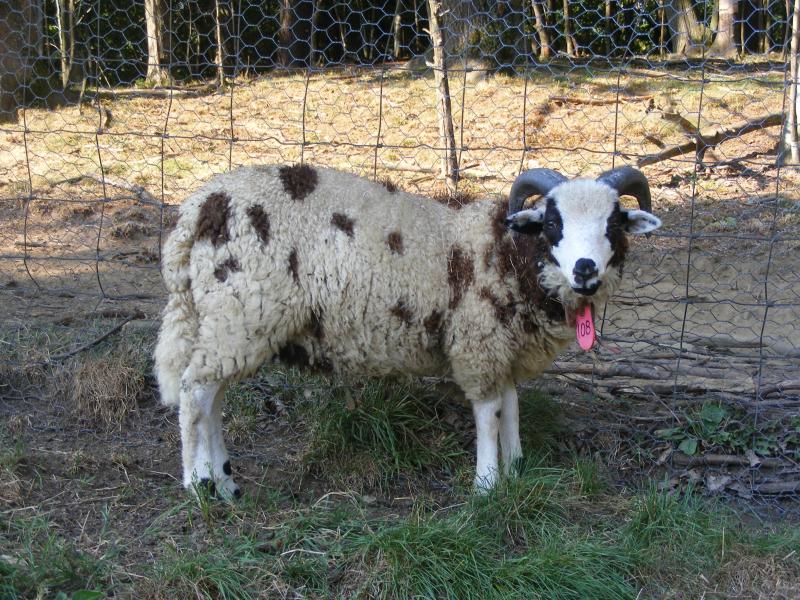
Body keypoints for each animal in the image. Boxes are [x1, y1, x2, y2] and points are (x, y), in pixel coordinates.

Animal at [154, 163, 661, 497]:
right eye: (553, 222)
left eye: (614, 223)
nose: (585, 270)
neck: (509, 254)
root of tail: (195, 210)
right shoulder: (478, 343)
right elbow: (489, 412)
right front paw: (486, 484)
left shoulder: (505, 348)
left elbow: (513, 408)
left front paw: (517, 466)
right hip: (240, 313)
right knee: (195, 393)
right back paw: (197, 484)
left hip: (227, 321)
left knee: (211, 397)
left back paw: (224, 481)